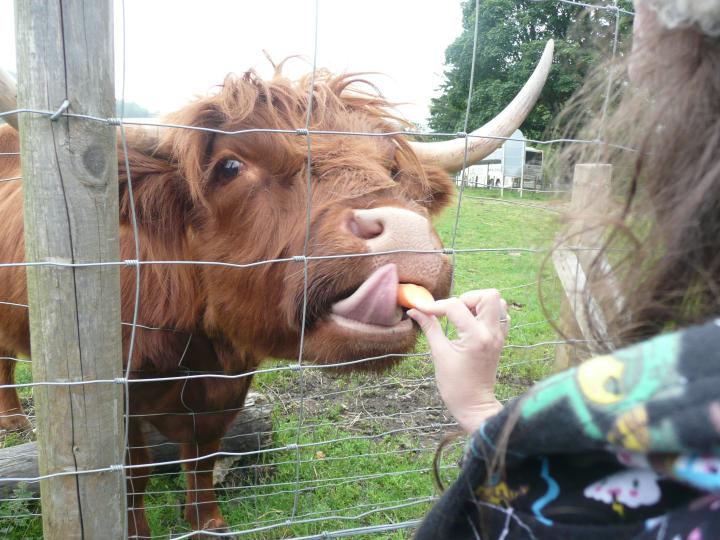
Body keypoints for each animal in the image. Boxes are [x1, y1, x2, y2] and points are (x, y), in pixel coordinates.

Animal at [0, 44, 552, 536]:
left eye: (393, 170)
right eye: (230, 166)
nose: (406, 232)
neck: (198, 351)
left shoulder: (226, 389)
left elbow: (203, 457)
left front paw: (208, 523)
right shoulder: (115, 393)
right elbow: (132, 475)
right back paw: (14, 423)